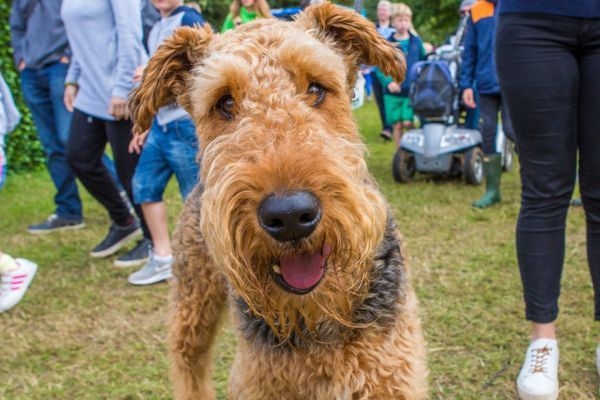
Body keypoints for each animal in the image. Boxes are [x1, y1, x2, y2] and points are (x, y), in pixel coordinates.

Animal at [127, 3, 426, 400]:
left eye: (316, 87)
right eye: (224, 102)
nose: (290, 216)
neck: (319, 319)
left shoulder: (392, 376)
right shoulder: (257, 380)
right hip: (193, 303)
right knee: (188, 364)